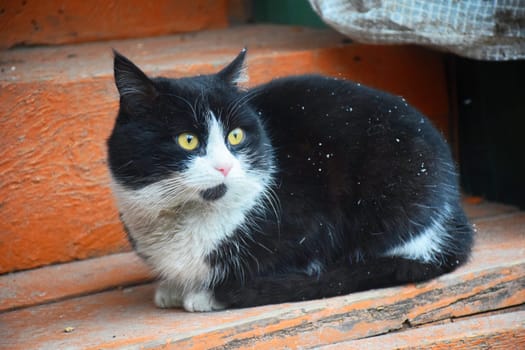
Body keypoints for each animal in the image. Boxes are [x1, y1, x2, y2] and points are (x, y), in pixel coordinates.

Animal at [106, 48, 470, 312]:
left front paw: (204, 294)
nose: (224, 167)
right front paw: (172, 288)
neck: (188, 215)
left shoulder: (311, 226)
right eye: (188, 140)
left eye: (235, 136)